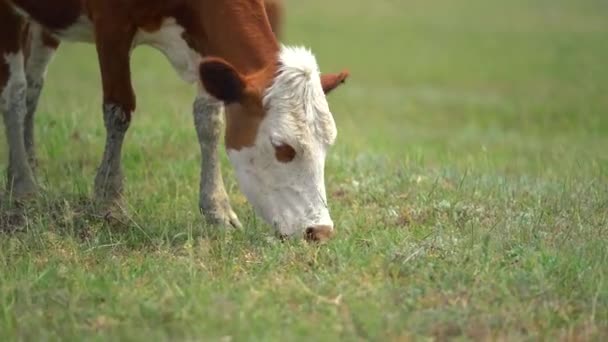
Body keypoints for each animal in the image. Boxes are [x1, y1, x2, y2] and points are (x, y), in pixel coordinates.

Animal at [0, 0, 350, 240]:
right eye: (283, 147)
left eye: (328, 145)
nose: (320, 231)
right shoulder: (111, 25)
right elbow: (118, 110)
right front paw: (110, 201)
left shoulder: (206, 44)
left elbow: (209, 120)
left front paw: (217, 208)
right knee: (15, 92)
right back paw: (23, 186)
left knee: (33, 85)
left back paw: (29, 165)